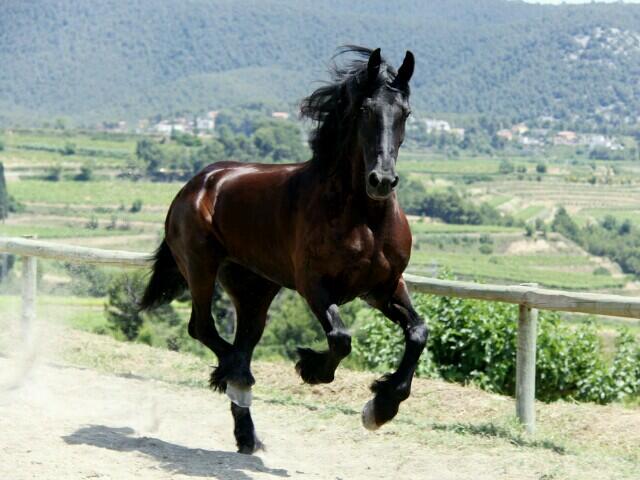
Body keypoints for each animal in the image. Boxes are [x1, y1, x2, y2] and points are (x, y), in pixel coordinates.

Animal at [141, 47, 430, 456]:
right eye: (364, 110)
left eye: (404, 112)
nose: (381, 181)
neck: (364, 218)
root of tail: (198, 183)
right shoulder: (314, 286)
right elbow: (340, 338)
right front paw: (310, 368)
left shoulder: (383, 287)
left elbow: (418, 332)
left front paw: (381, 407)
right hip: (200, 268)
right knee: (205, 329)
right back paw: (238, 380)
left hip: (254, 289)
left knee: (241, 341)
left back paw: (246, 432)